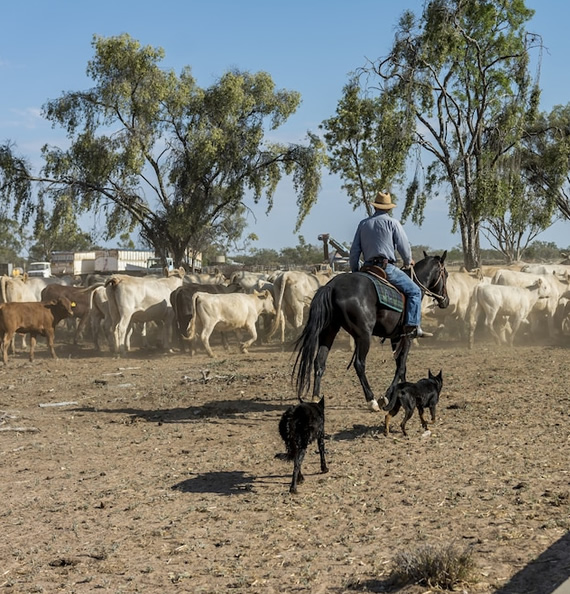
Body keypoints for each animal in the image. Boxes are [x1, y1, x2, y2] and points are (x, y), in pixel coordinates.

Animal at [292, 251, 450, 412]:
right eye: (446, 274)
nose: (446, 300)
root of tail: (332, 286)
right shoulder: (407, 337)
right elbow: (400, 366)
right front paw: (387, 395)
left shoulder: (396, 337)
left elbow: (401, 366)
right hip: (363, 336)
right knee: (359, 364)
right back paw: (371, 400)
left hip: (329, 331)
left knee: (319, 361)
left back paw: (316, 396)